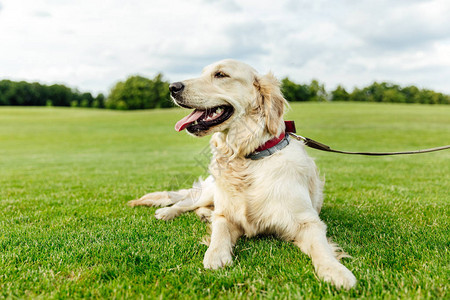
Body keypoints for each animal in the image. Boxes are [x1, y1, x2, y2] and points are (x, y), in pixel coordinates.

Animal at [128, 59, 356, 290]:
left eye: (220, 74)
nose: (172, 87)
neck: (247, 158)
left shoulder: (307, 222)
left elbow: (321, 247)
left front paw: (336, 271)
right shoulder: (227, 214)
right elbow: (219, 230)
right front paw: (215, 255)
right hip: (210, 191)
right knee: (186, 203)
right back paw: (168, 212)